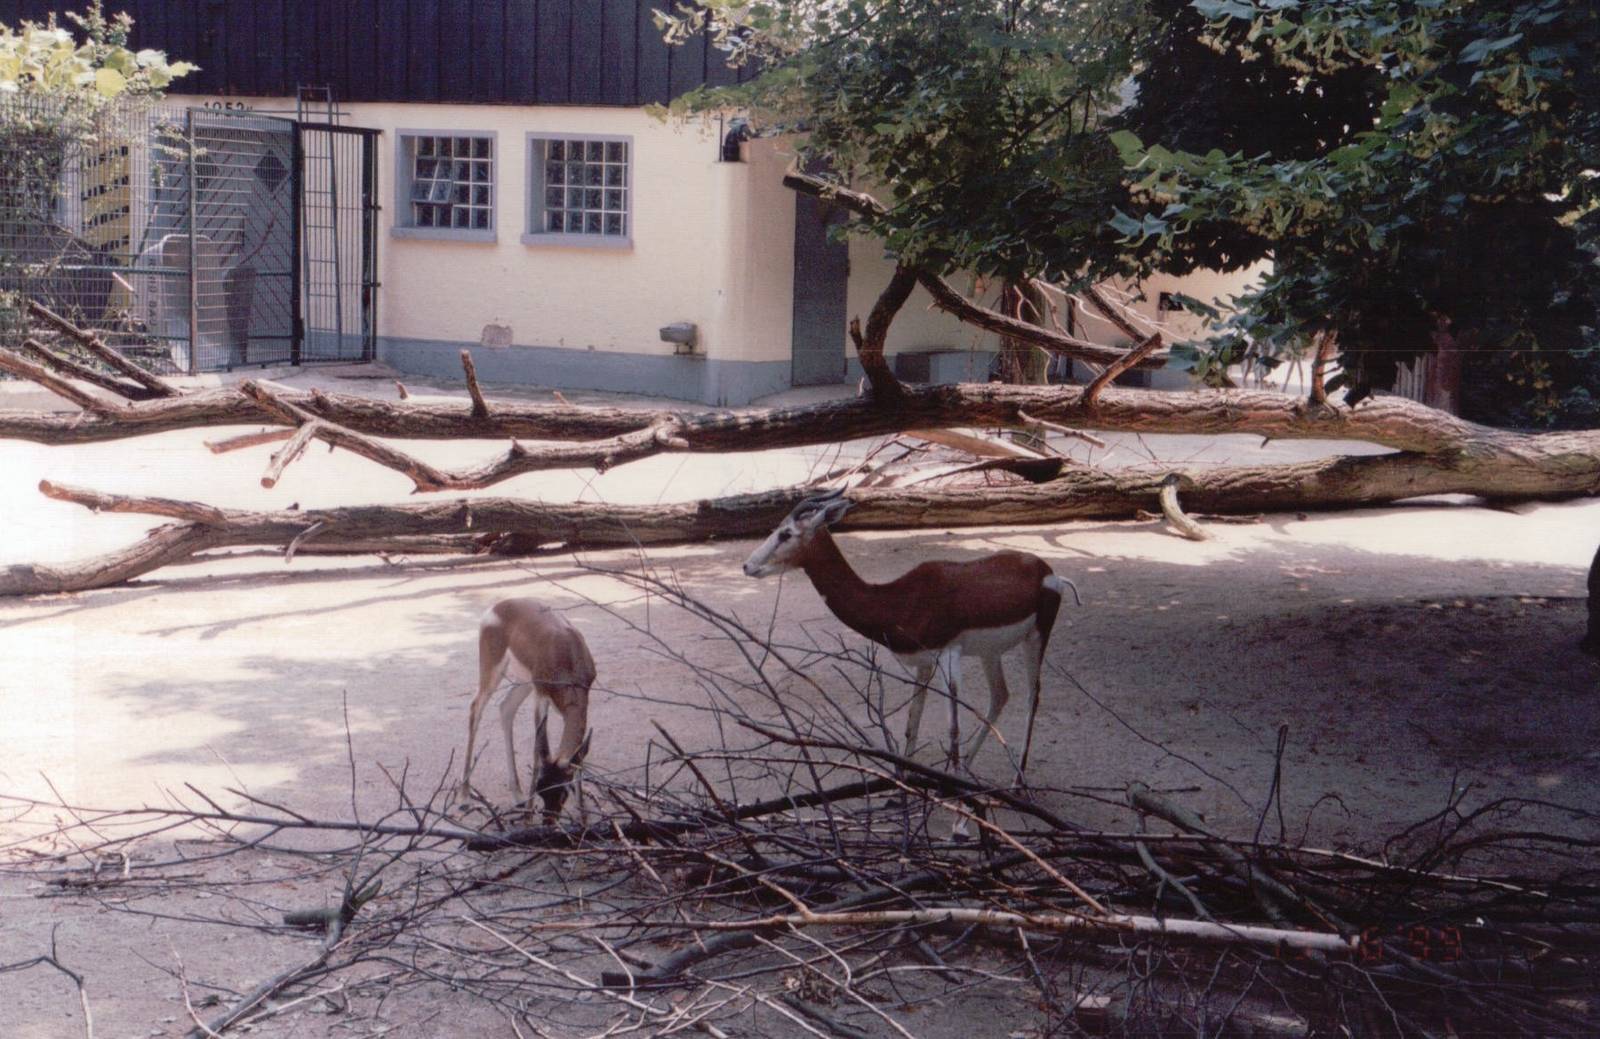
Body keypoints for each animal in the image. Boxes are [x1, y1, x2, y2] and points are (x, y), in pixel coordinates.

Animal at [460, 599, 595, 824]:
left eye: (563, 792)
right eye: (541, 789)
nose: (548, 821)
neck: (566, 653)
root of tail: (497, 606)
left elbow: (579, 759)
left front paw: (584, 819)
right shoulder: (541, 697)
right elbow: (536, 752)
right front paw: (528, 819)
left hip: (523, 682)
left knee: (505, 707)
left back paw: (518, 795)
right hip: (495, 669)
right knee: (475, 707)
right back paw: (464, 798)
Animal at [742, 489, 1079, 780]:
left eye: (786, 534)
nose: (747, 565)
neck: (901, 600)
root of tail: (1048, 571)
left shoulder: (949, 655)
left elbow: (953, 728)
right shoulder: (924, 663)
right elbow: (911, 723)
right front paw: (904, 789)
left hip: (1037, 636)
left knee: (1033, 697)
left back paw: (1017, 783)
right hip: (990, 653)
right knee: (1000, 696)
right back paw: (968, 773)